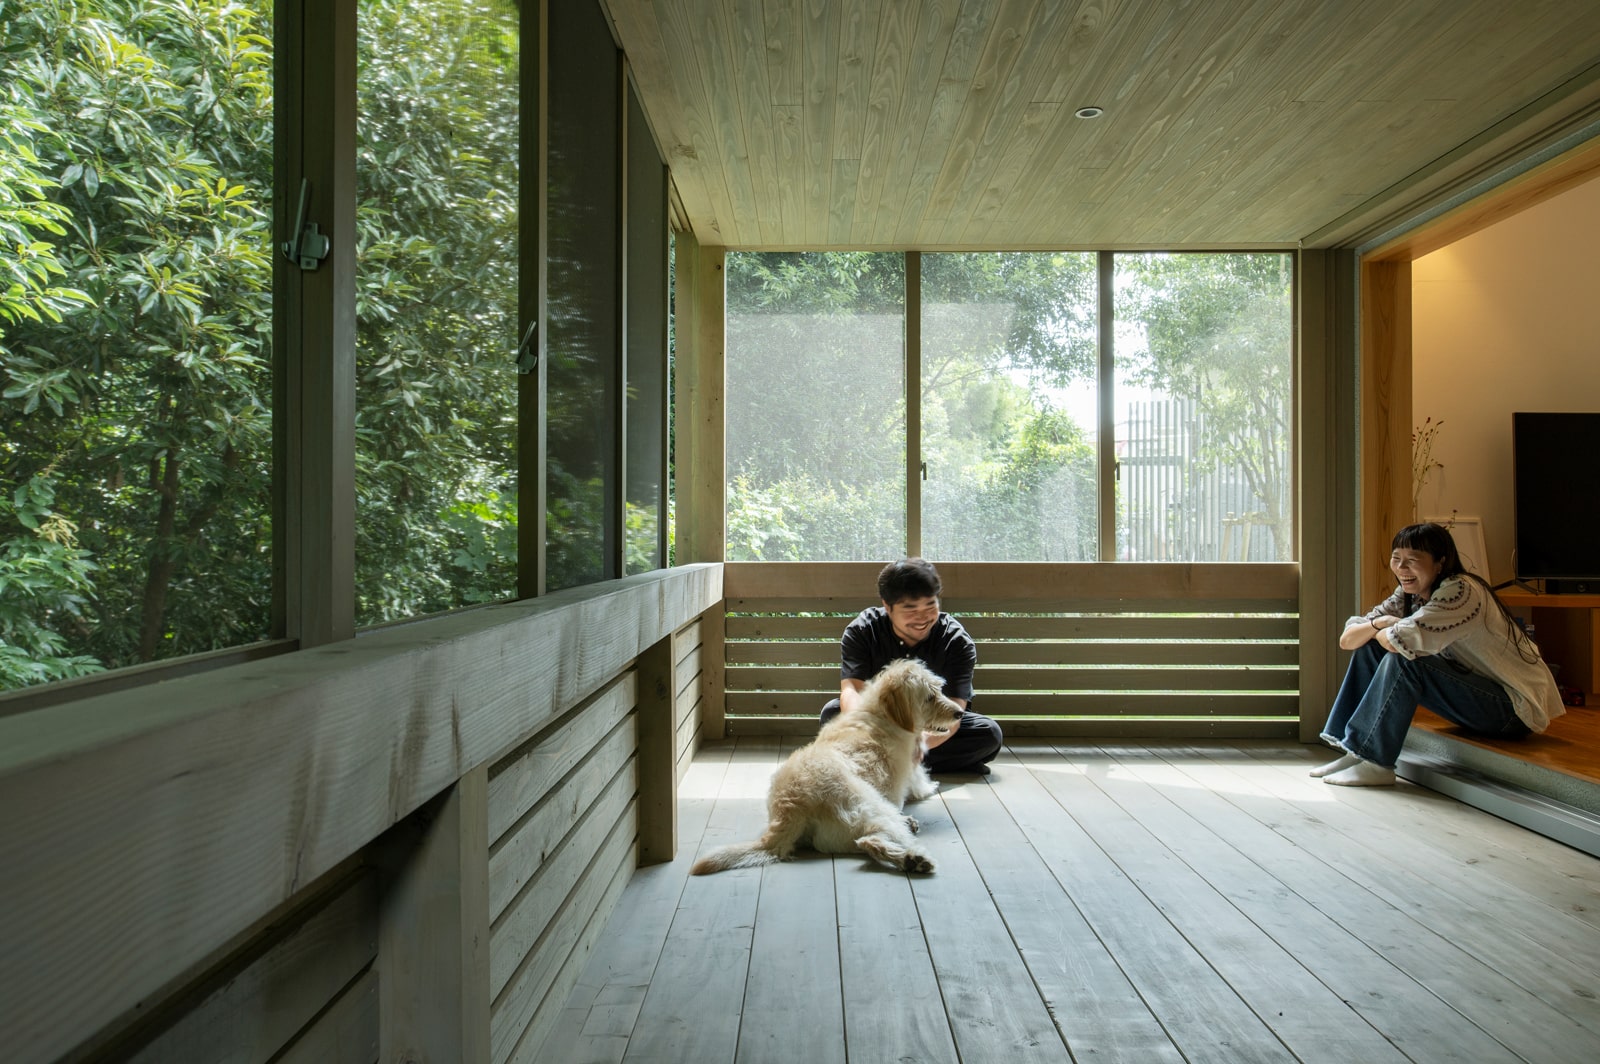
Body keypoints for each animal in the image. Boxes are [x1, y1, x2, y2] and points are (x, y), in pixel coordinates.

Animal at [690, 658, 965, 875]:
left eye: (939, 690)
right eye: (929, 696)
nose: (960, 713)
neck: (882, 715)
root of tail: (790, 808)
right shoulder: (905, 773)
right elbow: (918, 781)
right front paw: (929, 786)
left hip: (841, 834)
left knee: (868, 841)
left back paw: (909, 859)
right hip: (870, 802)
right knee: (875, 836)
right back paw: (914, 856)